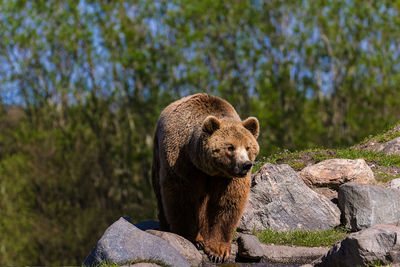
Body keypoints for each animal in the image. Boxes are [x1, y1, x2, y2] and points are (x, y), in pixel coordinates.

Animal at [151, 94, 260, 264]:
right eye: (230, 147)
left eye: (248, 147)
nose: (245, 165)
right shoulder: (183, 163)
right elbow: (181, 198)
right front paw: (193, 238)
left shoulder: (228, 178)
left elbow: (227, 203)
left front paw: (218, 250)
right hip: (157, 153)